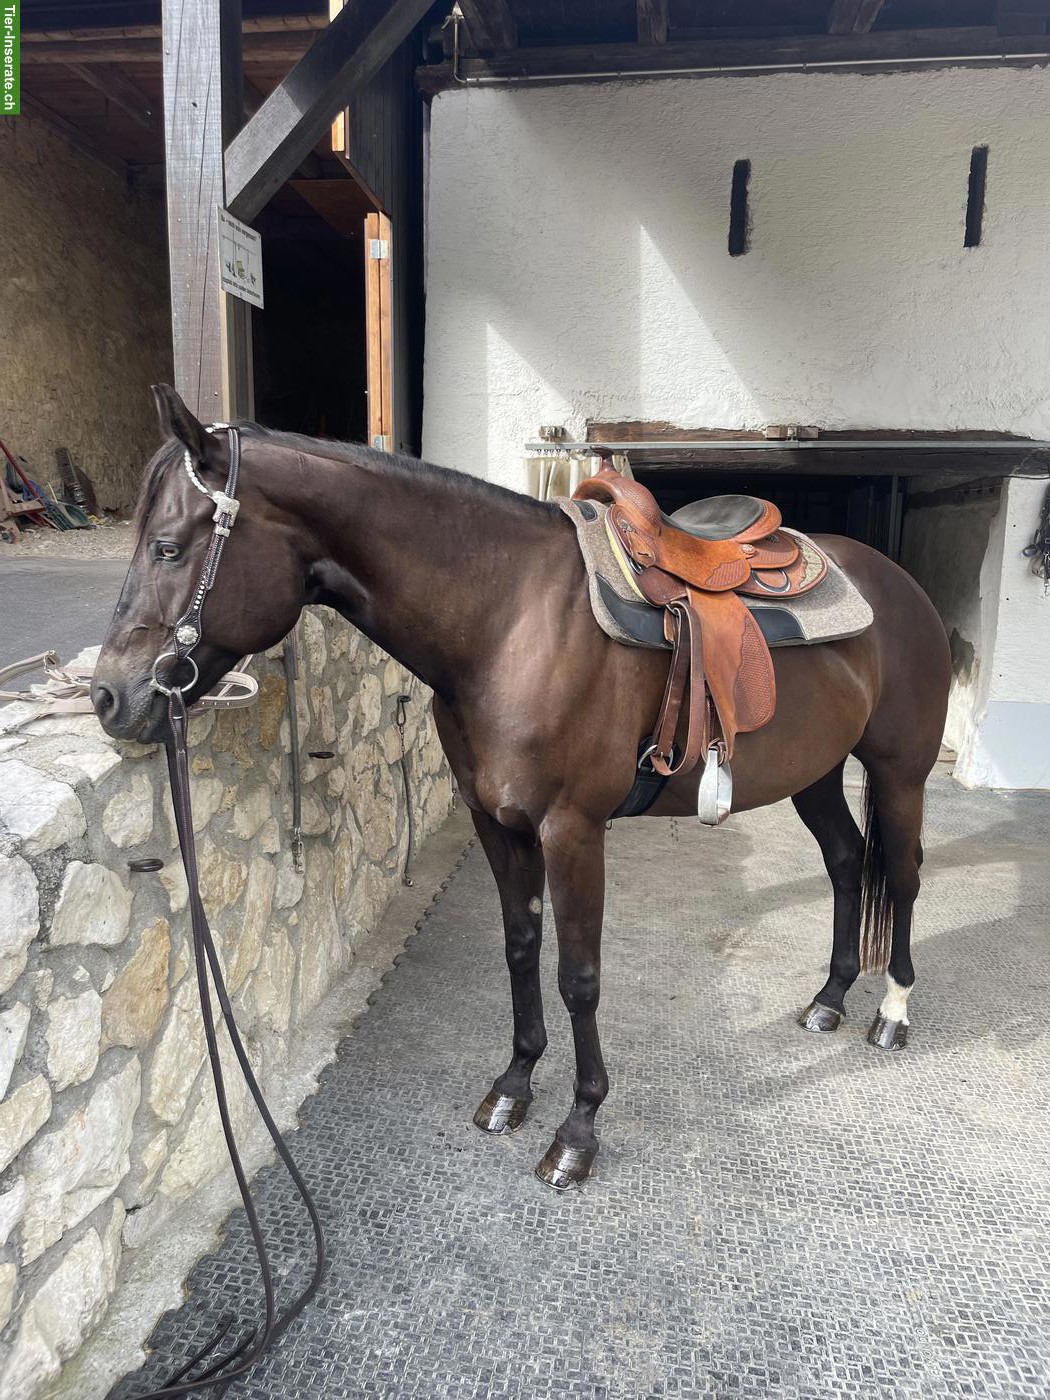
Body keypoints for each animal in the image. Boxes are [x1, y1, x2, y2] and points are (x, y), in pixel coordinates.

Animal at [93, 385, 951, 1190]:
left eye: (168, 547)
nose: (108, 698)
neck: (509, 623)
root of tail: (901, 585)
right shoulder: (495, 822)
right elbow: (519, 947)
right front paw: (513, 1085)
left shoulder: (572, 830)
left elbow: (579, 978)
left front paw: (578, 1130)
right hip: (816, 773)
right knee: (846, 861)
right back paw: (830, 998)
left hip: (899, 772)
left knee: (904, 877)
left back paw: (893, 1011)